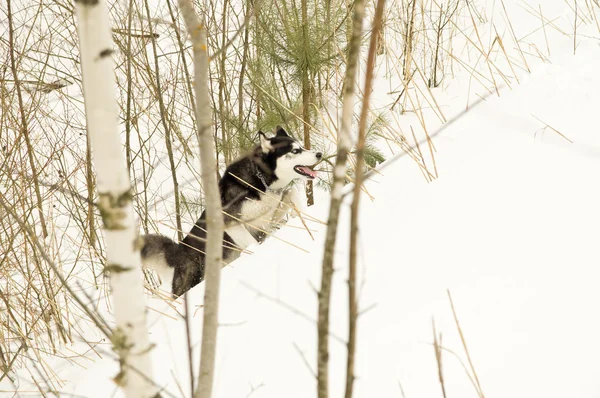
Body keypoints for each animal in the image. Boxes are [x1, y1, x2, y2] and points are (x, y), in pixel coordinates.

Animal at [141, 126, 322, 296]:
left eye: (301, 146)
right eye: (295, 151)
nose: (319, 154)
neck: (260, 180)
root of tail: (179, 250)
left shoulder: (268, 216)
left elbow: (292, 192)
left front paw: (302, 216)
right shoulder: (231, 223)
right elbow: (253, 243)